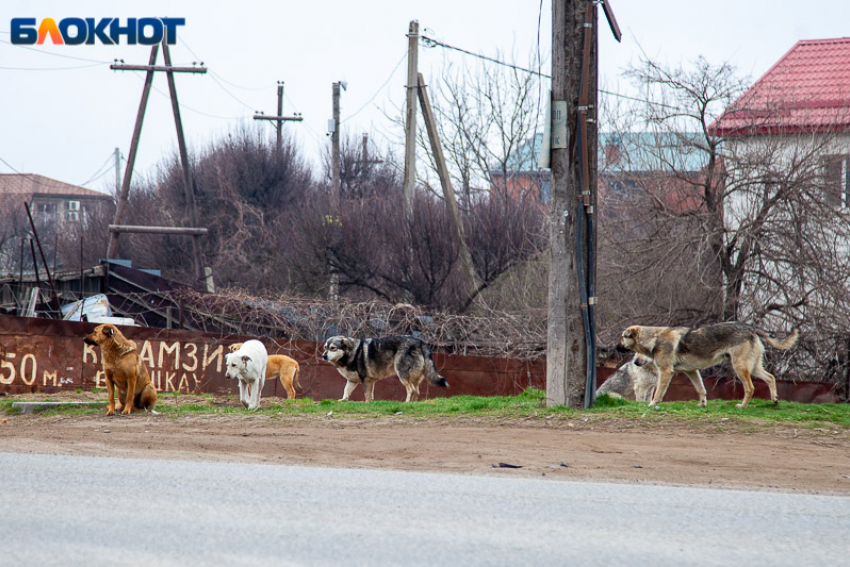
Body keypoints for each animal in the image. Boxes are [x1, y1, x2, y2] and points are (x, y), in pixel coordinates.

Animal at [320, 336, 450, 402]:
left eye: (333, 348)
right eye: (325, 348)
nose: (323, 356)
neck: (353, 352)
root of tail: (421, 342)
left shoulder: (366, 380)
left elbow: (367, 395)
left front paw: (367, 404)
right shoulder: (353, 381)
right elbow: (346, 391)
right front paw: (342, 401)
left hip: (402, 374)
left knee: (412, 390)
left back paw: (406, 403)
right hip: (414, 378)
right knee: (416, 391)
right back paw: (412, 404)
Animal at [616, 322, 796, 410]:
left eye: (623, 337)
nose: (615, 347)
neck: (654, 338)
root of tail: (751, 328)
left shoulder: (666, 372)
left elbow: (658, 393)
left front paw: (652, 405)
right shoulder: (692, 371)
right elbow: (701, 389)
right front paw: (702, 405)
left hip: (740, 368)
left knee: (750, 388)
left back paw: (742, 406)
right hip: (753, 367)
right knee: (771, 378)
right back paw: (774, 400)